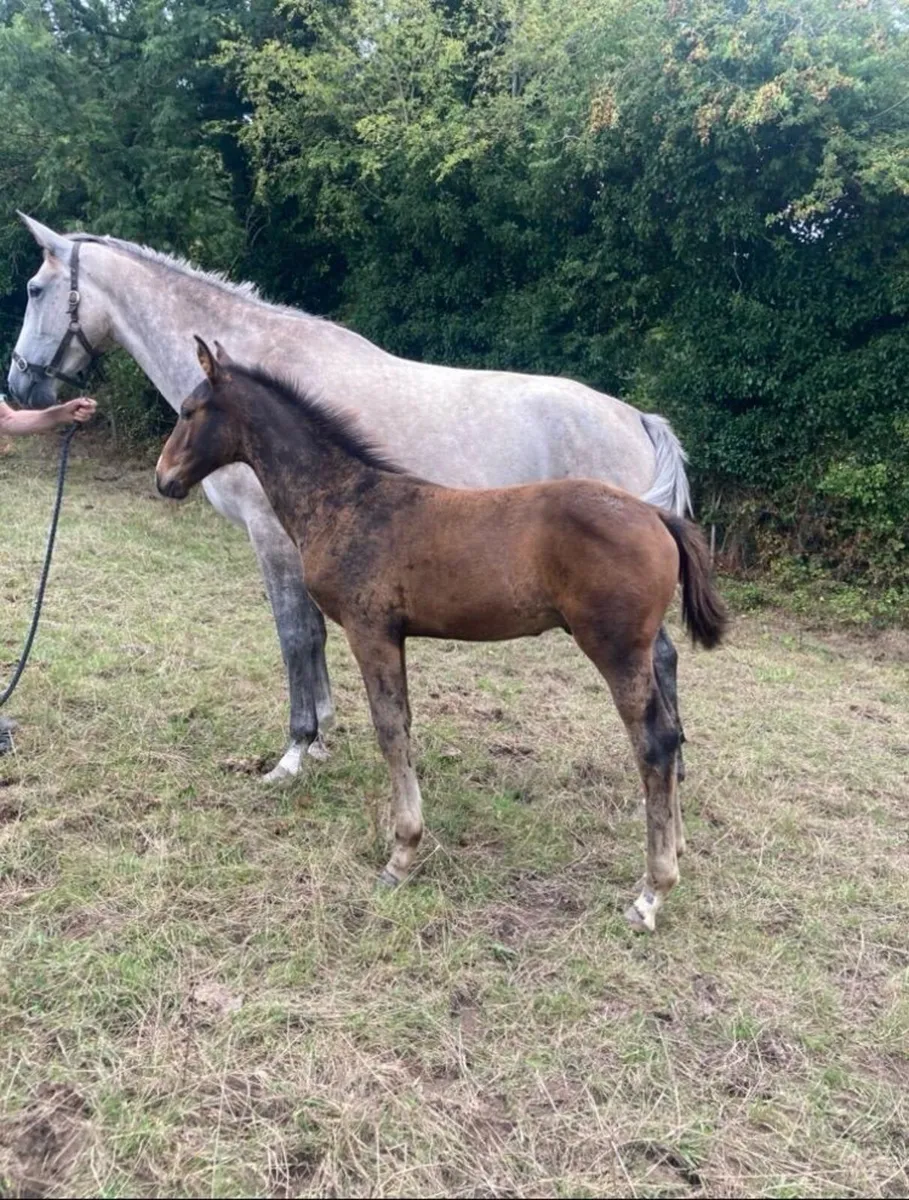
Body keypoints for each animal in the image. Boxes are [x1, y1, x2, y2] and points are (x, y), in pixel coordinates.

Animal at [8, 214, 692, 785]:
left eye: (34, 290)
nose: (19, 384)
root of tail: (637, 418)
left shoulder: (271, 536)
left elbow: (294, 634)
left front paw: (294, 749)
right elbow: (310, 634)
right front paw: (322, 734)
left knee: (658, 657)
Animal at [156, 338, 726, 932]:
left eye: (189, 411)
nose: (163, 477)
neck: (345, 499)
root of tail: (658, 517)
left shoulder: (371, 630)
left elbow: (390, 730)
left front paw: (401, 854)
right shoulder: (393, 635)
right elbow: (402, 723)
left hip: (615, 649)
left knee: (654, 742)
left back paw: (651, 892)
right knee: (670, 726)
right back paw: (676, 848)